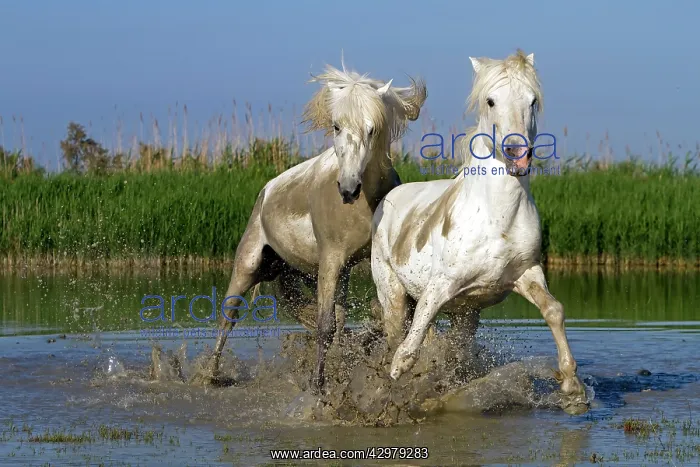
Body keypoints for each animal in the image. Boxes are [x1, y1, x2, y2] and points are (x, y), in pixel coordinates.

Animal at [191, 60, 427, 394]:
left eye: (372, 129)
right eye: (337, 126)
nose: (348, 189)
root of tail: (266, 191)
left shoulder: (361, 262)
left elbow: (368, 317)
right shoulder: (330, 259)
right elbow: (325, 326)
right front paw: (318, 386)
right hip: (248, 265)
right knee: (228, 317)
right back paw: (211, 376)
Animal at [370, 50, 589, 415]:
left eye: (532, 100)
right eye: (490, 101)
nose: (517, 153)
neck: (496, 218)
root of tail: (386, 201)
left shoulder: (526, 273)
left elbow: (554, 311)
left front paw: (573, 389)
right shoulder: (440, 284)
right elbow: (413, 340)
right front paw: (396, 379)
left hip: (466, 314)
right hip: (392, 292)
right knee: (397, 330)